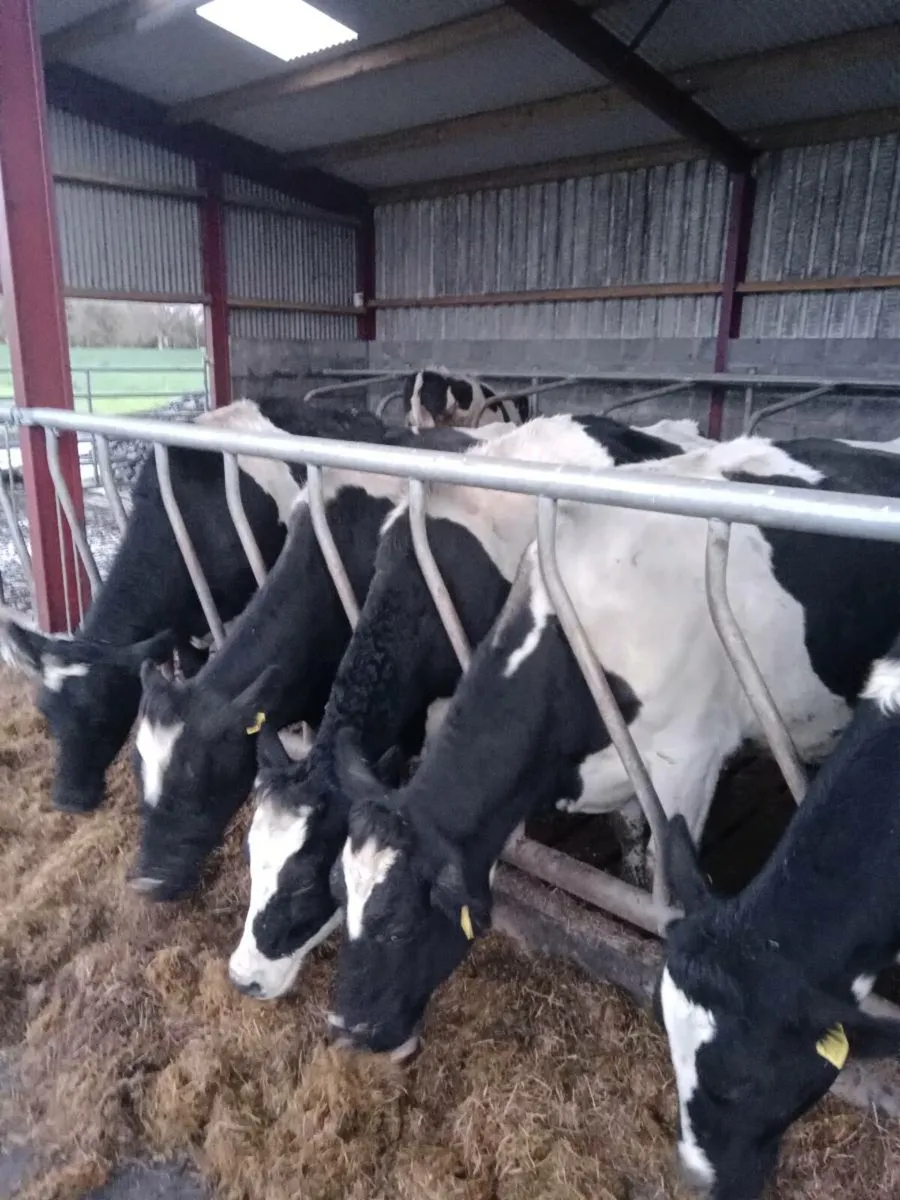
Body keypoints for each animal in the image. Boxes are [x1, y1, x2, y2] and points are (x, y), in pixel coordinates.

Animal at [323, 435, 900, 1061]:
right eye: (337, 895)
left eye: (399, 925)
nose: (344, 1029)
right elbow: (630, 842)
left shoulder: (687, 762)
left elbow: (662, 873)